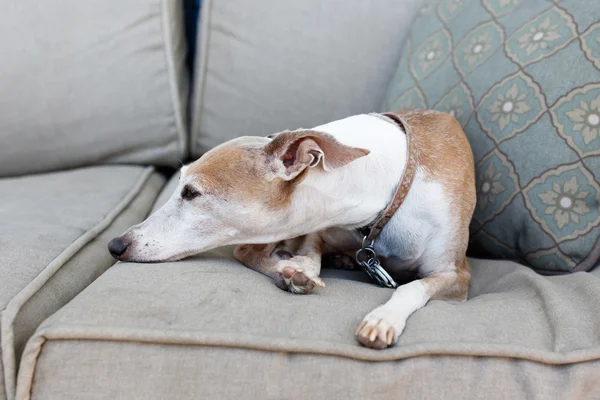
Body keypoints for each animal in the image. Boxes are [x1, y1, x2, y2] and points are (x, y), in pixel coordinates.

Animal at [106, 110, 474, 350]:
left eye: (191, 193)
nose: (115, 245)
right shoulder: (319, 227)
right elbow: (305, 253)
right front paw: (296, 270)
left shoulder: (456, 275)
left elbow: (412, 288)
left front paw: (383, 318)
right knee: (246, 251)